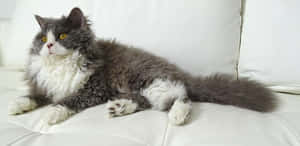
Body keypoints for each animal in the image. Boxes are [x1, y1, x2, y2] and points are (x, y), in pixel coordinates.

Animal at [8, 7, 278, 125]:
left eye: (62, 36)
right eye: (42, 38)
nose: (48, 45)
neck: (61, 65)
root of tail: (180, 71)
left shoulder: (93, 88)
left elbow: (67, 100)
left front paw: (50, 114)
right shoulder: (45, 85)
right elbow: (33, 95)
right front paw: (16, 106)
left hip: (148, 79)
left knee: (181, 95)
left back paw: (177, 116)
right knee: (149, 101)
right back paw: (120, 108)